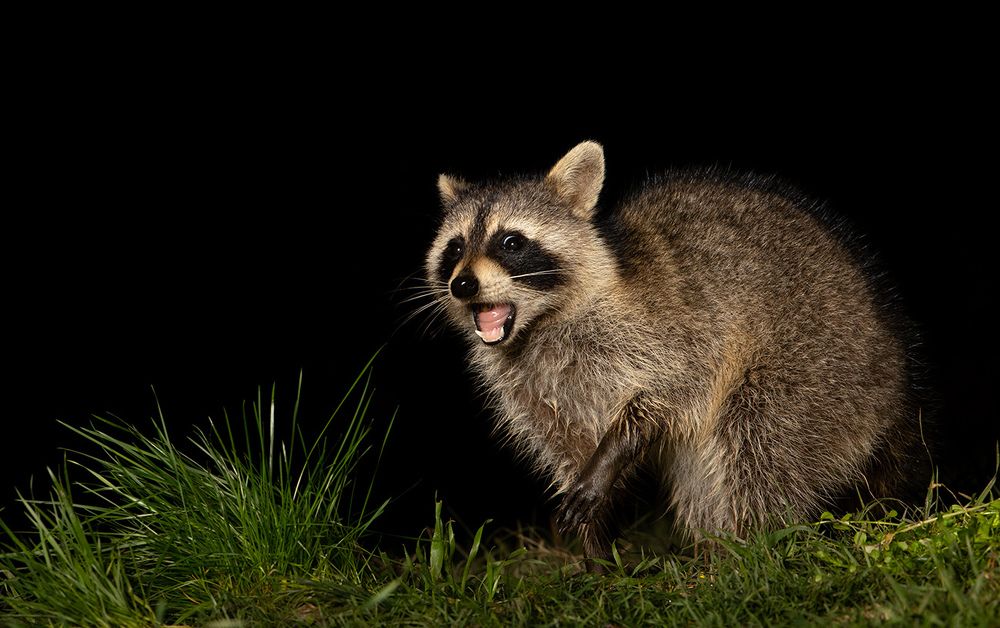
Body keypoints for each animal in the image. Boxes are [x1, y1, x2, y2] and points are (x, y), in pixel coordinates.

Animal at [425, 141, 924, 561]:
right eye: (455, 248)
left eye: (511, 242)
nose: (462, 284)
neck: (538, 326)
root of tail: (895, 376)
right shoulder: (532, 388)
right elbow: (567, 446)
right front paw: (596, 549)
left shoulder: (675, 332)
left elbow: (666, 395)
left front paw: (607, 460)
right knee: (705, 477)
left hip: (820, 366)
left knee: (760, 443)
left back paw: (753, 547)